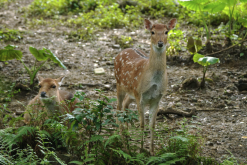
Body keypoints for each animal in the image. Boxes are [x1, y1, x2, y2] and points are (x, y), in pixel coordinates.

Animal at [114, 18, 176, 155]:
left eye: (166, 32)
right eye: (152, 32)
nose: (160, 43)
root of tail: (122, 51)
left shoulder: (157, 98)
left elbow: (152, 125)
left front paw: (152, 151)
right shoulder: (140, 96)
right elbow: (142, 124)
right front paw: (141, 150)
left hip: (131, 91)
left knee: (125, 104)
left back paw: (127, 133)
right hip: (119, 84)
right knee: (118, 107)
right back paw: (121, 137)